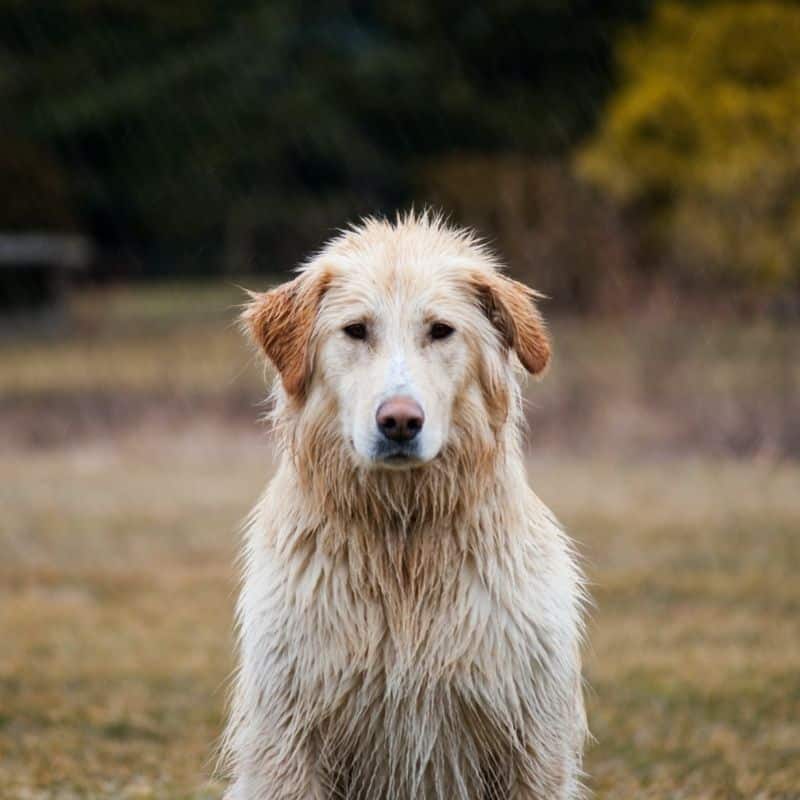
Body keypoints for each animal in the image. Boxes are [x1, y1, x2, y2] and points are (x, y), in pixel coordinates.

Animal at [222, 214, 584, 800]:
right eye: (356, 330)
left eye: (440, 330)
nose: (399, 422)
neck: (403, 539)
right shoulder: (288, 739)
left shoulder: (533, 741)